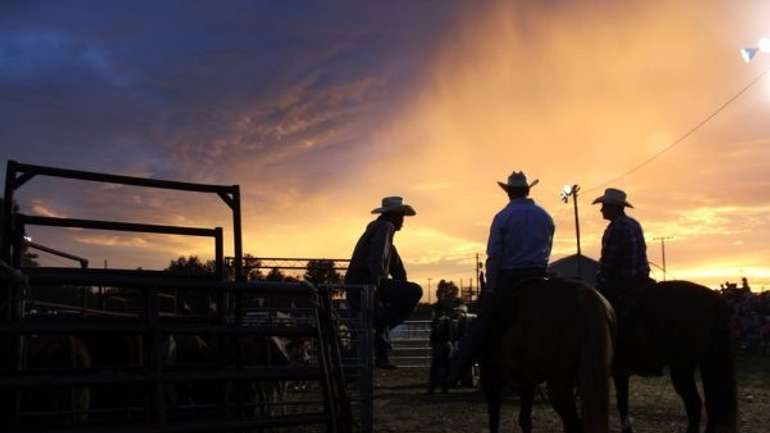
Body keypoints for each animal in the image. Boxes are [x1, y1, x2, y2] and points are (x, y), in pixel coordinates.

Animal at [480, 276, 612, 432]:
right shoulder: (527, 381)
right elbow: (524, 419)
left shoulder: (496, 380)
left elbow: (496, 420)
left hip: (558, 384)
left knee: (573, 423)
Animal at [608, 280, 736, 432]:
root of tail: (715, 299)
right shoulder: (620, 373)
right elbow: (622, 402)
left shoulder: (618, 372)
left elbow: (620, 403)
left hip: (681, 369)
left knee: (695, 404)